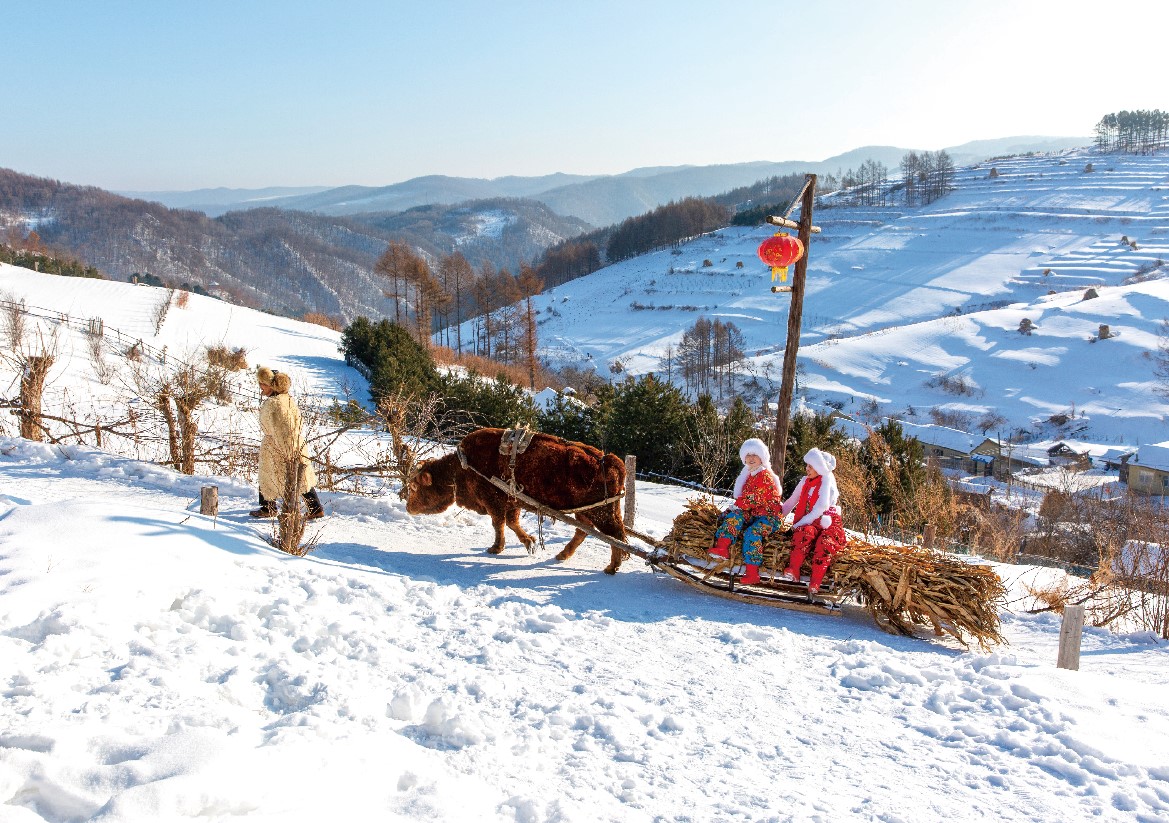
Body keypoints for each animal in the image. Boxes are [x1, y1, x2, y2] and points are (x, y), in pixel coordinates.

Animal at [409, 430, 631, 572]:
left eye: (414, 487)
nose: (409, 507)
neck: (463, 465)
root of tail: (610, 460)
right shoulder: (512, 503)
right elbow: (512, 523)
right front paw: (530, 542)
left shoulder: (494, 502)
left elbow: (499, 524)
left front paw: (495, 548)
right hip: (586, 512)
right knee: (585, 532)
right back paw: (563, 555)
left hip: (601, 514)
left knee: (615, 537)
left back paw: (611, 567)